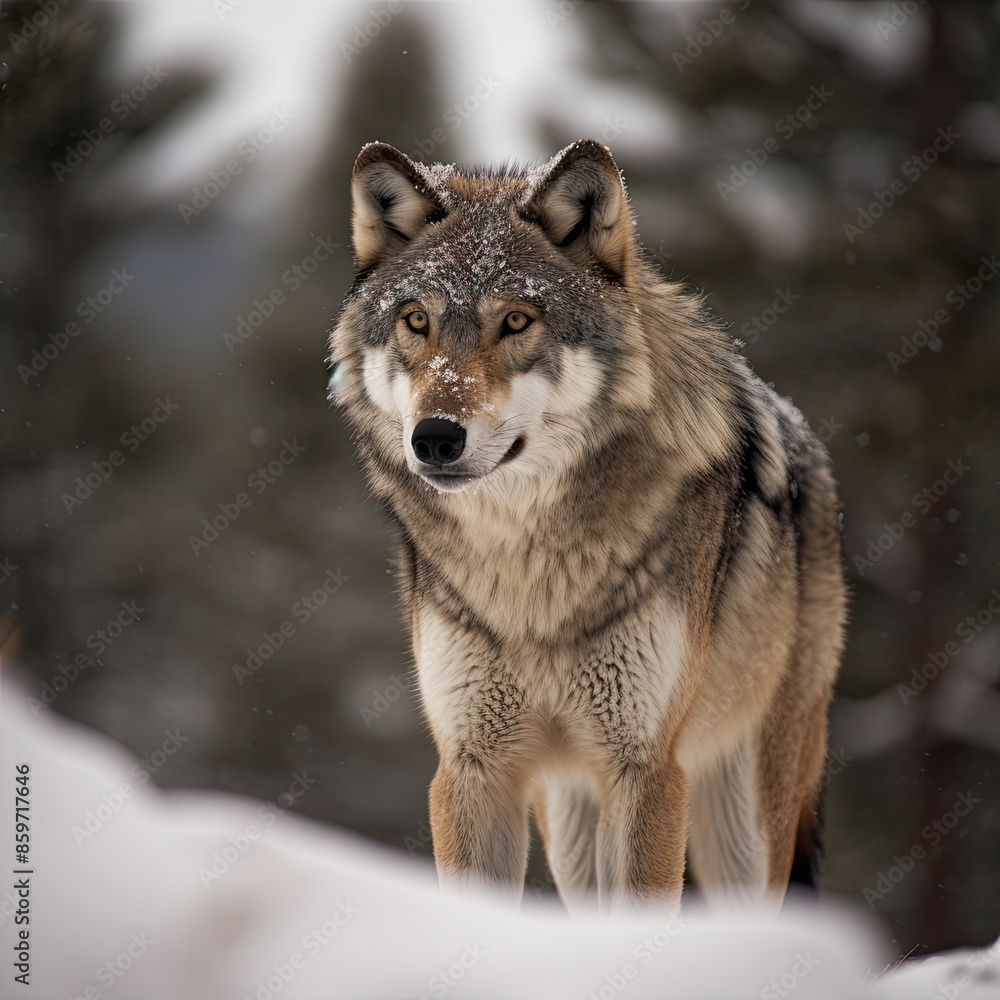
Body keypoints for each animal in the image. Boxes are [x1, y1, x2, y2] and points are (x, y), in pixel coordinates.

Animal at [328, 139, 847, 918]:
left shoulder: (647, 769)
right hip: (573, 823)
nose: (435, 438)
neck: (528, 572)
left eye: (517, 322)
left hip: (741, 824)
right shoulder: (471, 770)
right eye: (416, 321)